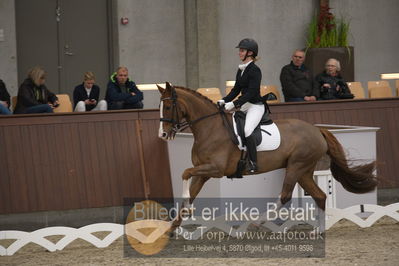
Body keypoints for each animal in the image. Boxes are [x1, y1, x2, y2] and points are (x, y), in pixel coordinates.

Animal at [157, 82, 378, 211]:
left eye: (167, 106)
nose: (163, 135)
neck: (209, 128)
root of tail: (317, 130)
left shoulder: (216, 169)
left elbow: (185, 173)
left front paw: (184, 198)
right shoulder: (203, 171)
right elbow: (190, 183)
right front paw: (173, 228)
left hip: (296, 166)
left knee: (285, 196)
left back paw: (258, 224)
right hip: (304, 170)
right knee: (320, 196)